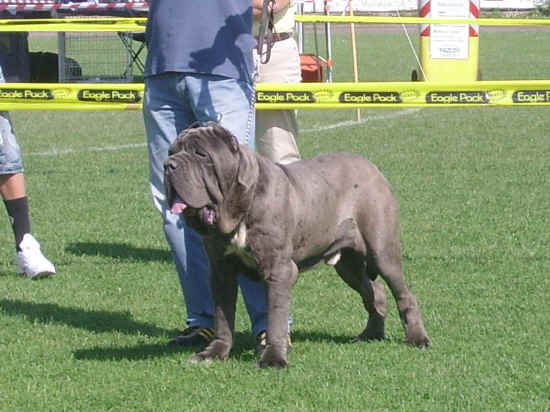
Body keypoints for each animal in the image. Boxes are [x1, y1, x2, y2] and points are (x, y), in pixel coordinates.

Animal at [164, 121, 432, 366]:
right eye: (170, 151)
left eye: (201, 154)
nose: (168, 166)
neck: (239, 207)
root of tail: (371, 166)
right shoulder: (221, 272)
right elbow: (222, 317)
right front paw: (214, 353)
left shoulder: (278, 271)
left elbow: (276, 317)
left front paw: (273, 358)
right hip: (348, 266)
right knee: (374, 292)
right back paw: (371, 334)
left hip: (382, 253)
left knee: (404, 294)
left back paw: (417, 339)